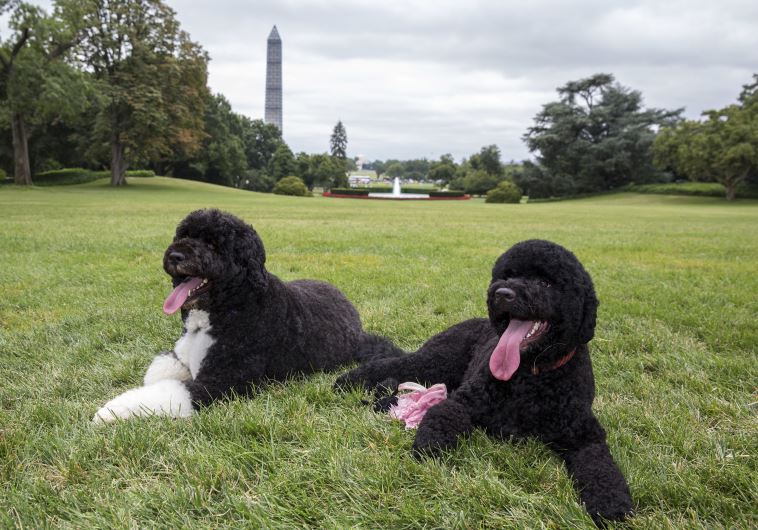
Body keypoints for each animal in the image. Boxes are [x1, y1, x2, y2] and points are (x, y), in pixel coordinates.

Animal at [95, 207, 400, 420]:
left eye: (214, 244)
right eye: (184, 235)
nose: (175, 256)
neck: (228, 307)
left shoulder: (223, 381)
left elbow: (169, 391)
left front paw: (111, 411)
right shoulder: (181, 356)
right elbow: (159, 372)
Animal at [336, 240, 636, 524]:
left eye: (545, 282)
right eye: (508, 275)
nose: (502, 294)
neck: (531, 375)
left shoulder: (584, 434)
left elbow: (601, 466)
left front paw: (612, 503)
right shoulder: (465, 401)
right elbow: (443, 414)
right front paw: (431, 444)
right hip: (435, 361)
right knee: (393, 364)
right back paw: (346, 381)